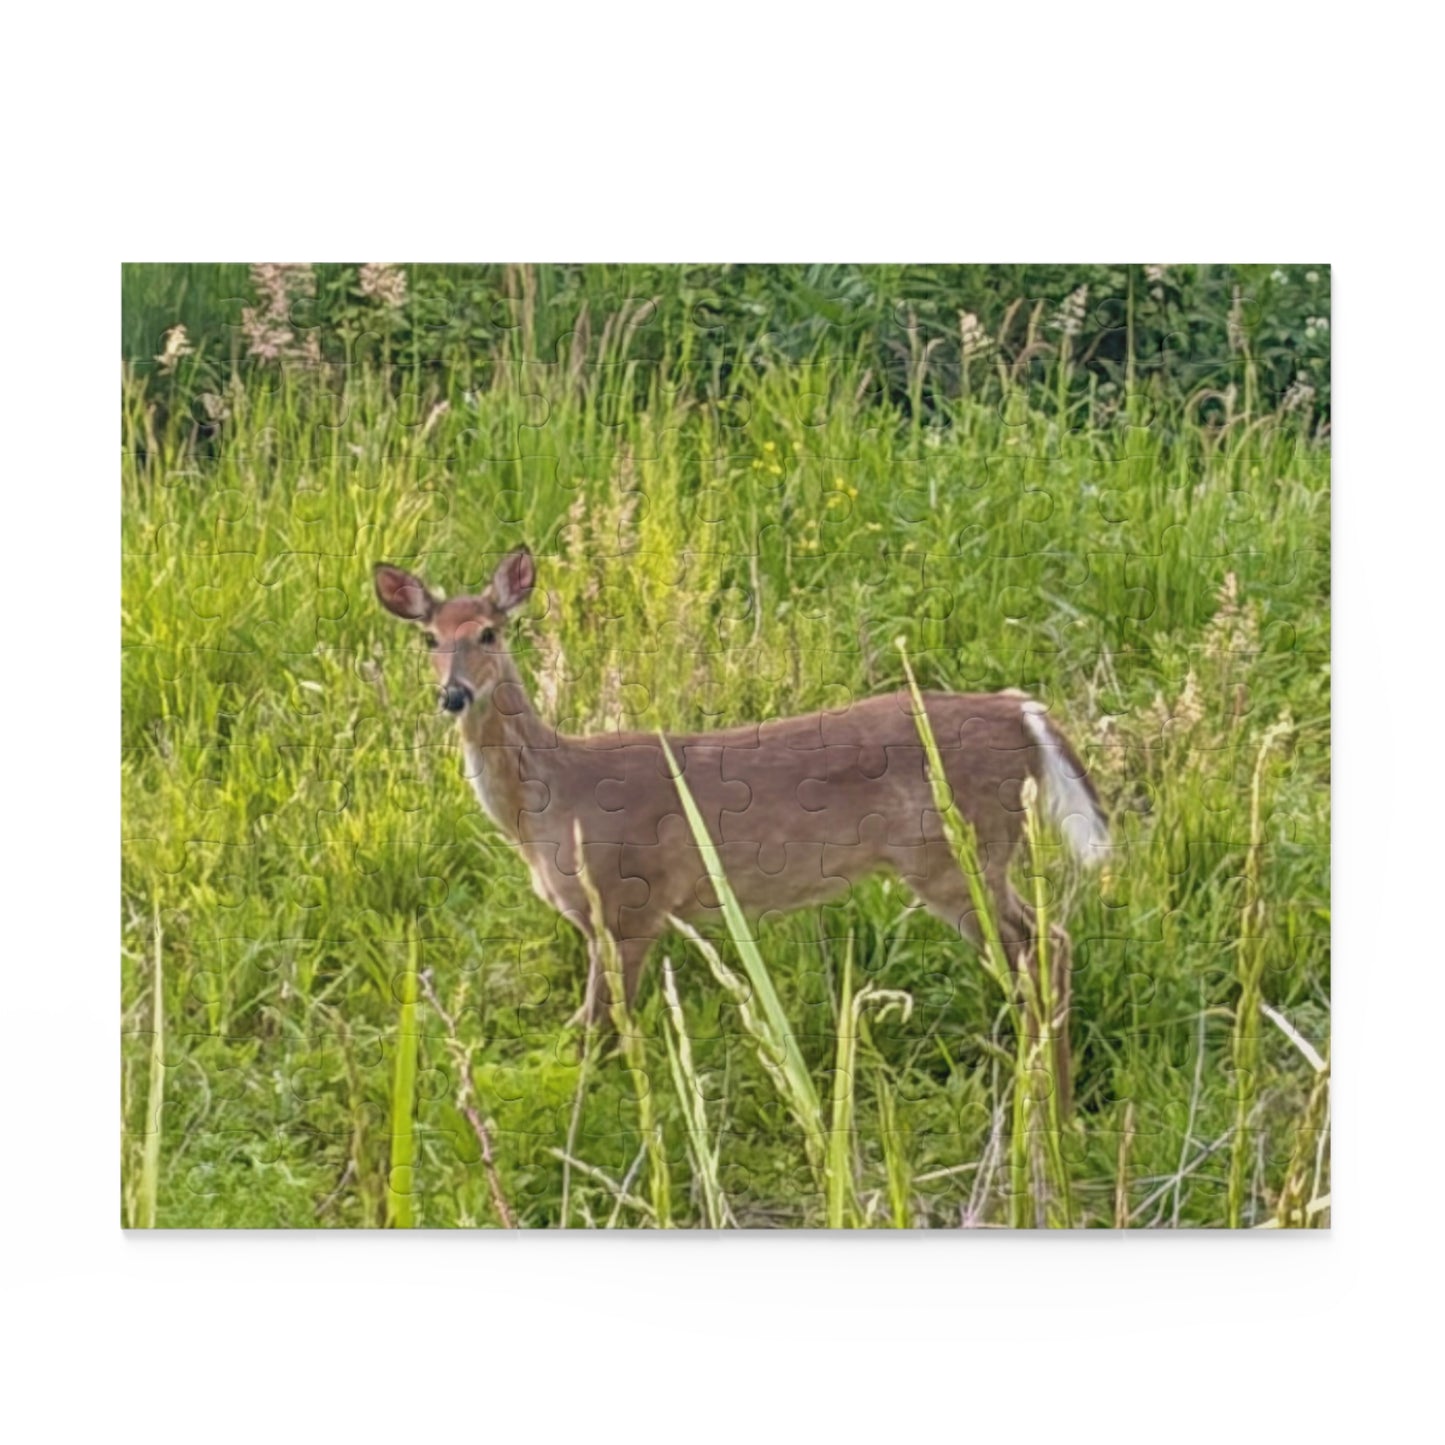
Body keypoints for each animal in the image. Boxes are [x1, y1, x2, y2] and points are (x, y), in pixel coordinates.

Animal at [373, 546, 1109, 1112]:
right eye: (429, 639)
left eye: (489, 633)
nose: (453, 695)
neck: (553, 803)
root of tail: (1022, 712)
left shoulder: (631, 902)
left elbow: (601, 1026)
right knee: (1048, 942)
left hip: (958, 855)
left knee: (1043, 945)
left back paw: (1051, 1108)